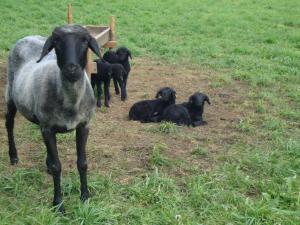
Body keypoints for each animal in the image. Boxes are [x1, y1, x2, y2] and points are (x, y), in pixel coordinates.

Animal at [4, 24, 101, 213]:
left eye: (85, 40)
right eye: (57, 41)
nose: (72, 69)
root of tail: (28, 36)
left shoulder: (83, 125)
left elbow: (82, 163)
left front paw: (84, 197)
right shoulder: (48, 128)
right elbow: (58, 167)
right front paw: (58, 204)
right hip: (11, 94)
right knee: (9, 123)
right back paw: (14, 156)